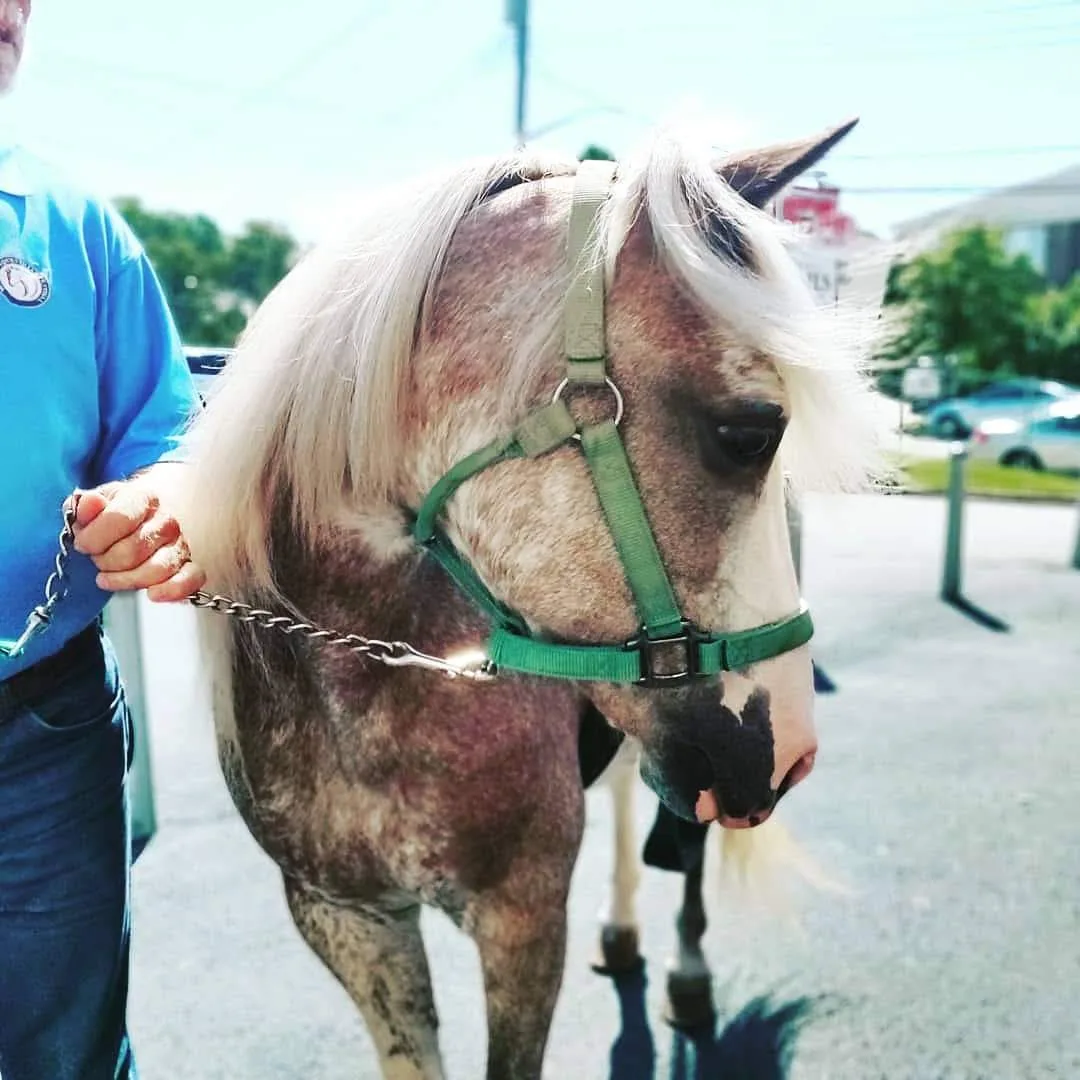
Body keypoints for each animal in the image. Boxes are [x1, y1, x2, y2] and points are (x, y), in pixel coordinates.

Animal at [175, 118, 876, 1079]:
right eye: (747, 433)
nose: (794, 752)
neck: (367, 689)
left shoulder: (522, 920)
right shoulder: (348, 922)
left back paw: (686, 974)